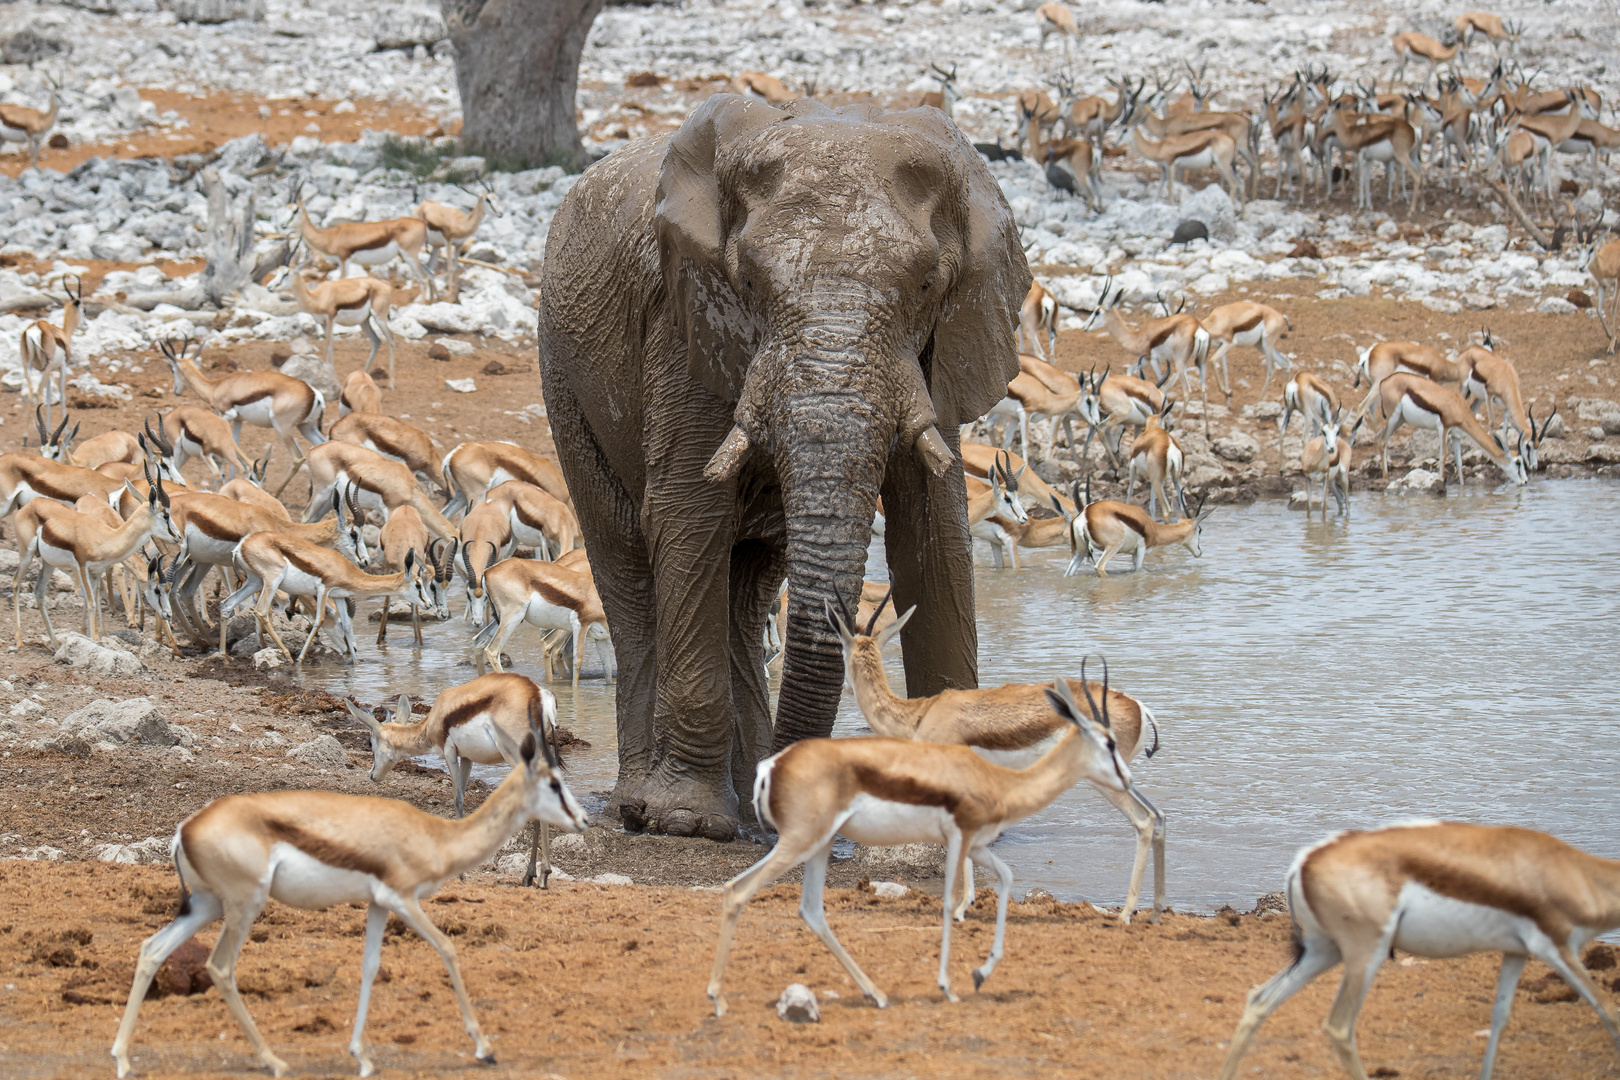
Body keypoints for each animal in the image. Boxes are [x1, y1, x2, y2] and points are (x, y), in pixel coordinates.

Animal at [537, 93, 1030, 841]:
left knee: (747, 588)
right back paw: (644, 808)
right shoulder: (683, 328)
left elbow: (935, 533)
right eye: (747, 282)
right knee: (627, 565)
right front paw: (688, 823)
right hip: (564, 379)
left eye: (926, 285)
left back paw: (747, 806)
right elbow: (687, 516)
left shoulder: (940, 355)